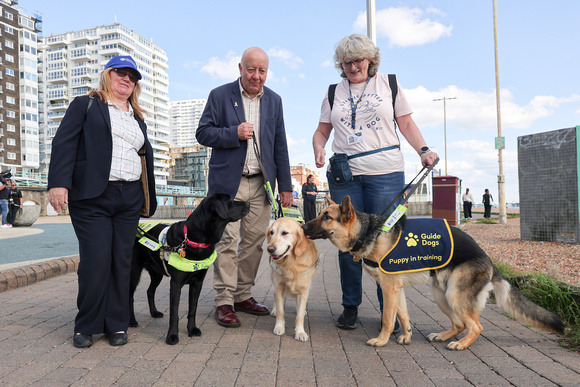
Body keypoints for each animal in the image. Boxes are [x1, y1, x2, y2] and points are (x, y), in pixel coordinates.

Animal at [129, 194, 249, 346]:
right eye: (229, 201)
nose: (249, 204)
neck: (194, 239)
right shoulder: (176, 284)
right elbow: (174, 314)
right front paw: (172, 336)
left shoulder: (197, 283)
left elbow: (192, 309)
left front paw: (192, 329)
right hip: (133, 273)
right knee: (129, 296)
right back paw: (132, 321)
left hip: (157, 273)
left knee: (150, 291)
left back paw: (154, 312)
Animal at [302, 197, 564, 352]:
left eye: (327, 216)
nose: (303, 226)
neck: (369, 232)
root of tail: (489, 259)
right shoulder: (396, 289)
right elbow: (403, 315)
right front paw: (406, 337)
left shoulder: (389, 288)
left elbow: (388, 318)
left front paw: (382, 340)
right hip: (441, 294)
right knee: (460, 323)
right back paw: (443, 335)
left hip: (454, 296)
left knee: (475, 326)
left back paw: (461, 344)